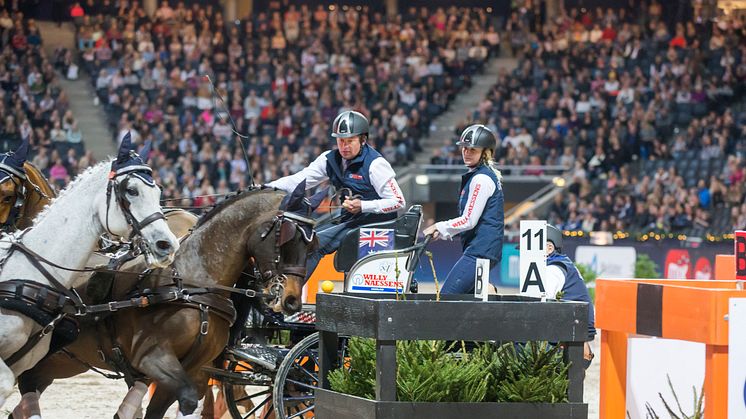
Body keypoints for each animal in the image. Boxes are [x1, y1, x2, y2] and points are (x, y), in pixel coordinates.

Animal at [14, 184, 316, 419]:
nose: (291, 300)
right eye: (286, 237)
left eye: (311, 244)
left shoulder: (193, 370)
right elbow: (185, 399)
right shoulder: (152, 358)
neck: (192, 283)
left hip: (59, 362)